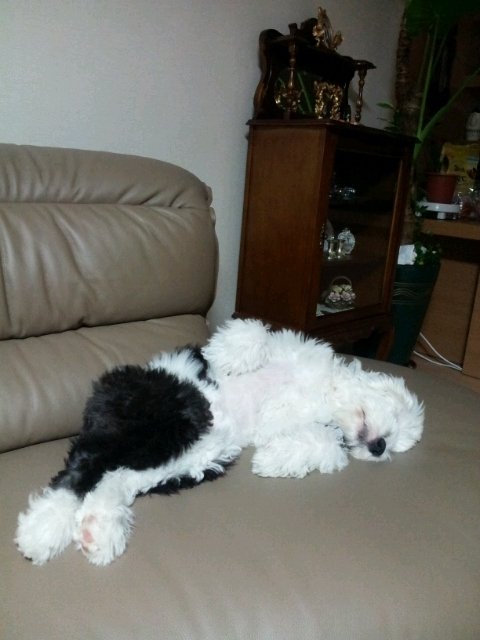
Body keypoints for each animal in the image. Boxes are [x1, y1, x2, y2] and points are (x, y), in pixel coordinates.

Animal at [15, 319, 424, 566]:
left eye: (397, 444)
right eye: (397, 416)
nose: (380, 447)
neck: (324, 394)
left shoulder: (306, 428)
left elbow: (321, 445)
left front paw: (273, 460)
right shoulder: (293, 349)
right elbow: (255, 333)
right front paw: (229, 356)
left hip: (190, 458)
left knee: (114, 478)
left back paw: (98, 530)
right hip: (162, 420)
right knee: (84, 468)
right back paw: (44, 529)